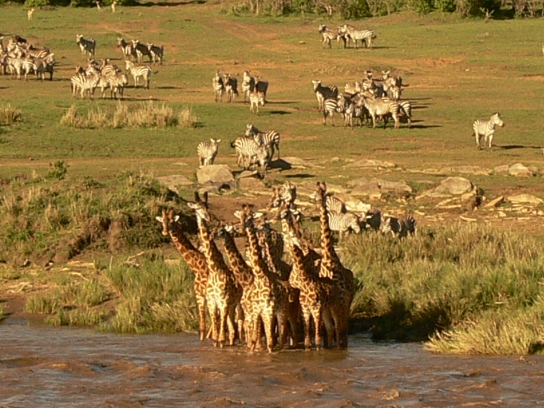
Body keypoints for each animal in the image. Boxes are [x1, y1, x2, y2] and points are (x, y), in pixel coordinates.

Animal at [156, 208, 210, 342]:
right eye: (162, 221)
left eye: (171, 222)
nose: (165, 232)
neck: (197, 268)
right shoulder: (199, 295)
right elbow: (202, 325)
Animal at [188, 192, 241, 348]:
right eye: (197, 208)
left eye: (207, 206)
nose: (208, 217)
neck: (214, 269)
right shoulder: (212, 301)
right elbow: (216, 333)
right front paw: (215, 342)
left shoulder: (223, 300)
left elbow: (221, 334)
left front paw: (221, 342)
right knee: (230, 327)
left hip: (233, 304)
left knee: (232, 327)